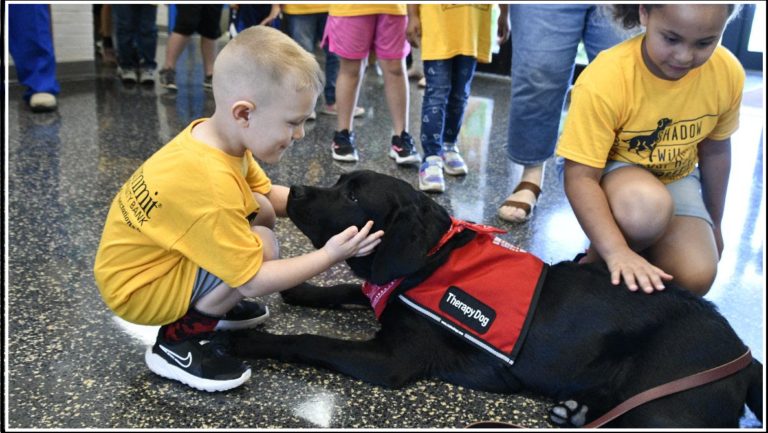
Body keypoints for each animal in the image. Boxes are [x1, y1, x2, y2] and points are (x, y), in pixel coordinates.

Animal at [230, 170, 760, 426]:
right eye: (340, 183)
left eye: (354, 198)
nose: (295, 190)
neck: (433, 258)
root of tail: (744, 353)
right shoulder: (387, 291)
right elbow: (350, 288)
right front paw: (303, 288)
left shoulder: (391, 360)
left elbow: (309, 341)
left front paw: (253, 344)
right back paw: (575, 412)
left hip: (663, 407)